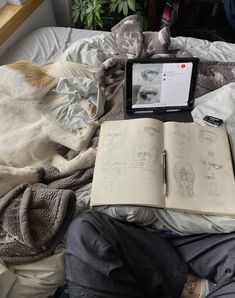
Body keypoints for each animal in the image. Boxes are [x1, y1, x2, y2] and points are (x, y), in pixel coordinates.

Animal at [0, 60, 98, 198]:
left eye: (1, 177)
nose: (41, 173)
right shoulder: (46, 153)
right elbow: (66, 166)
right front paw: (89, 155)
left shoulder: (43, 127)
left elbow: (79, 143)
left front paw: (90, 126)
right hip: (34, 100)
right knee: (61, 96)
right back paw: (88, 105)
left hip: (29, 90)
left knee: (57, 78)